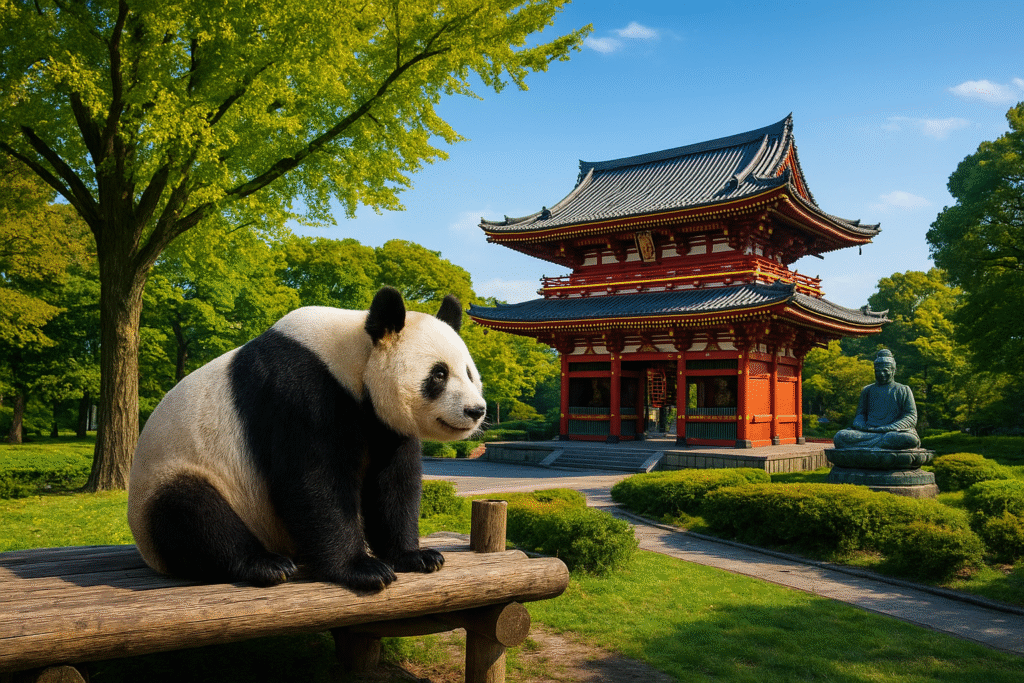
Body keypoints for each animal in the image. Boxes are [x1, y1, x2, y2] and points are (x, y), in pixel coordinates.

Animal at [127, 286, 486, 592]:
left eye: (469, 373)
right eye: (439, 374)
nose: (476, 410)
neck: (352, 358)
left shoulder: (384, 424)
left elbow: (393, 483)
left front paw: (416, 556)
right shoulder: (300, 391)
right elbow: (314, 480)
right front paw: (363, 569)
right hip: (177, 474)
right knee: (193, 514)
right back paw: (265, 565)